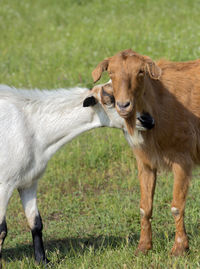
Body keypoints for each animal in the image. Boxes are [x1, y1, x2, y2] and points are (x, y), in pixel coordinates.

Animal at [0, 82, 152, 262]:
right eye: (110, 100)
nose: (147, 120)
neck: (34, 127)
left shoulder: (29, 181)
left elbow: (36, 223)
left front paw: (43, 261)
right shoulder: (4, 184)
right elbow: (1, 229)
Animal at [92, 49, 200, 254]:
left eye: (140, 72)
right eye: (111, 72)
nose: (123, 105)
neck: (159, 102)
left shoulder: (182, 159)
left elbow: (177, 206)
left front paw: (179, 248)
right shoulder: (145, 161)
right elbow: (144, 207)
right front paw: (143, 247)